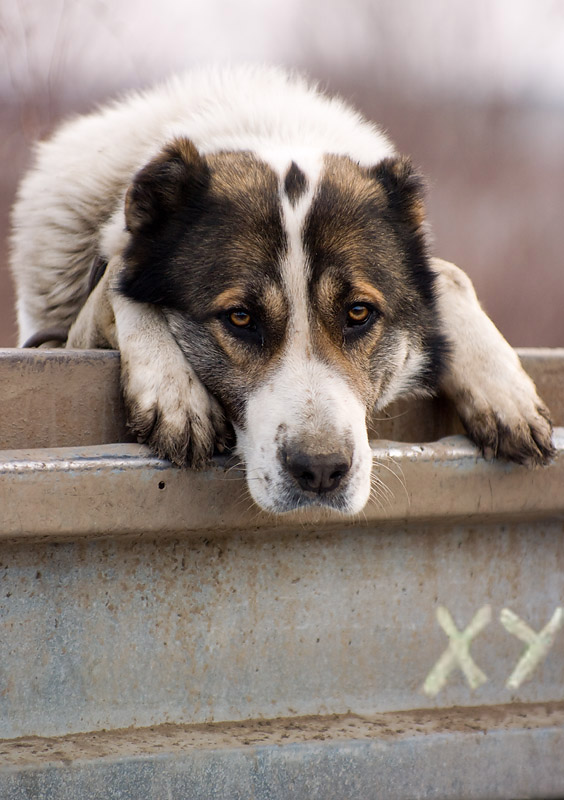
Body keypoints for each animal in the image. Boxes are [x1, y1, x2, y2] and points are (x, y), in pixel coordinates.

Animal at [9, 64, 556, 512]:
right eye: (240, 318)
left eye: (358, 313)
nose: (321, 472)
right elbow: (117, 279)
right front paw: (173, 388)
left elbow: (448, 273)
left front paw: (505, 391)